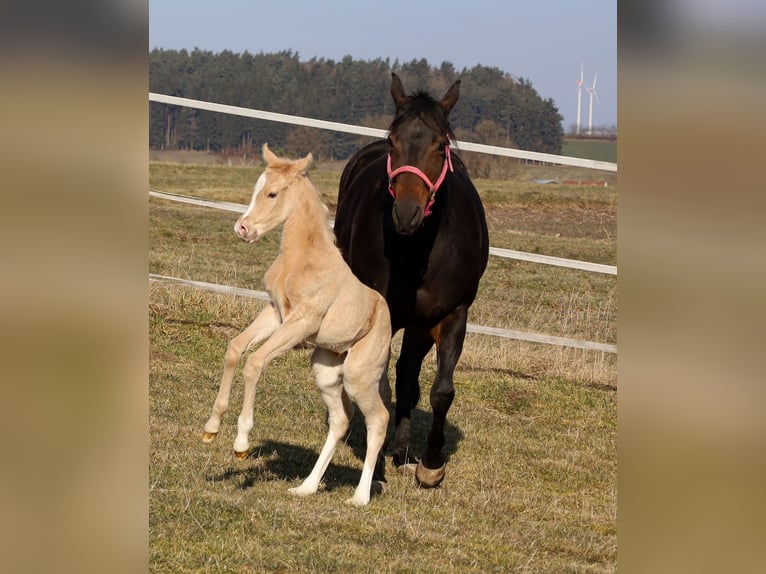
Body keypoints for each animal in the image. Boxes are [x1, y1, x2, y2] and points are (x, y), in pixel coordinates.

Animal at [202, 144, 390, 508]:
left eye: (273, 193)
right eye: (256, 189)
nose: (243, 229)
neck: (300, 259)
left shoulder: (301, 322)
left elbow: (255, 362)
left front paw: (241, 443)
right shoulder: (275, 312)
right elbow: (235, 348)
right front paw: (212, 427)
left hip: (359, 377)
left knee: (379, 421)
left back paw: (360, 497)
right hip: (326, 370)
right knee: (340, 421)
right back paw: (307, 487)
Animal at [336, 73, 492, 490]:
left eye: (441, 146)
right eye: (394, 141)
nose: (406, 213)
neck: (419, 250)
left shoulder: (451, 315)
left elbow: (440, 391)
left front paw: (431, 464)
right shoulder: (383, 316)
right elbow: (381, 384)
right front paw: (376, 462)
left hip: (420, 324)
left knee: (409, 376)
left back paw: (404, 452)